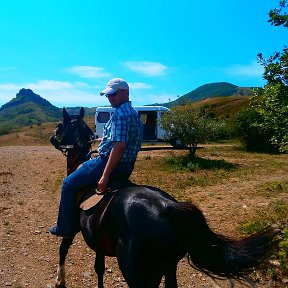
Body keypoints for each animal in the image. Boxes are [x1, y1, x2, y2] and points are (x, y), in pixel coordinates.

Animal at [50, 108, 280, 288]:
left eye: (60, 125)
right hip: (168, 267)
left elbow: (63, 250)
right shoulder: (97, 240)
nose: (52, 138)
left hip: (138, 272)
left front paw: (60, 280)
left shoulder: (72, 228)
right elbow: (99, 268)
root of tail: (171, 208)